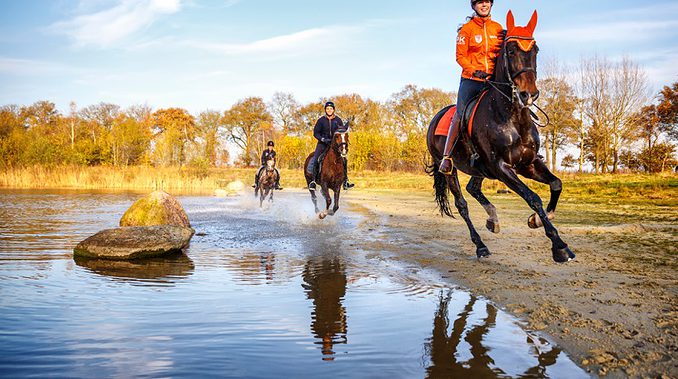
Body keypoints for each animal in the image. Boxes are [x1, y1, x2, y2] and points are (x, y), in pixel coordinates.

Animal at [428, 10, 576, 262]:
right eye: (511, 50)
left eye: (536, 50)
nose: (528, 94)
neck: (512, 118)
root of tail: (435, 119)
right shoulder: (502, 167)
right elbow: (533, 197)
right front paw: (559, 245)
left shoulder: (528, 163)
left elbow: (556, 184)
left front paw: (538, 220)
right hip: (449, 168)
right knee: (462, 204)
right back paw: (480, 246)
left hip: (480, 169)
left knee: (473, 188)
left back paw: (493, 219)